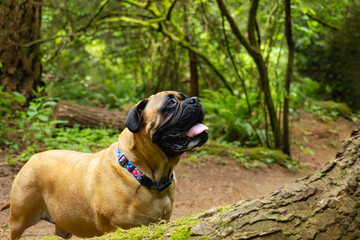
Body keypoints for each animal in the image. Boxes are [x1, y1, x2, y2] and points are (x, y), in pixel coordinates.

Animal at [1, 91, 208, 239]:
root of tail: (32, 158)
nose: (195, 100)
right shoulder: (120, 228)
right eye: (171, 103)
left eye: (186, 97)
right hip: (19, 218)